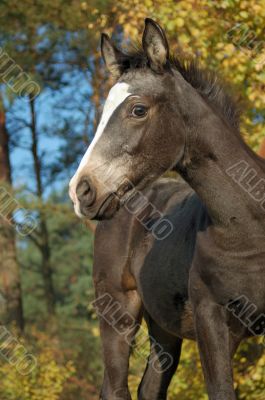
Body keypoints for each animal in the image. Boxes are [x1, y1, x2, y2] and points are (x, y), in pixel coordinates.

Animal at [68, 19, 264, 400]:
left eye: (138, 109)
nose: (81, 190)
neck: (247, 229)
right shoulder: (211, 318)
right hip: (118, 313)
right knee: (116, 387)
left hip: (163, 328)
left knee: (148, 388)